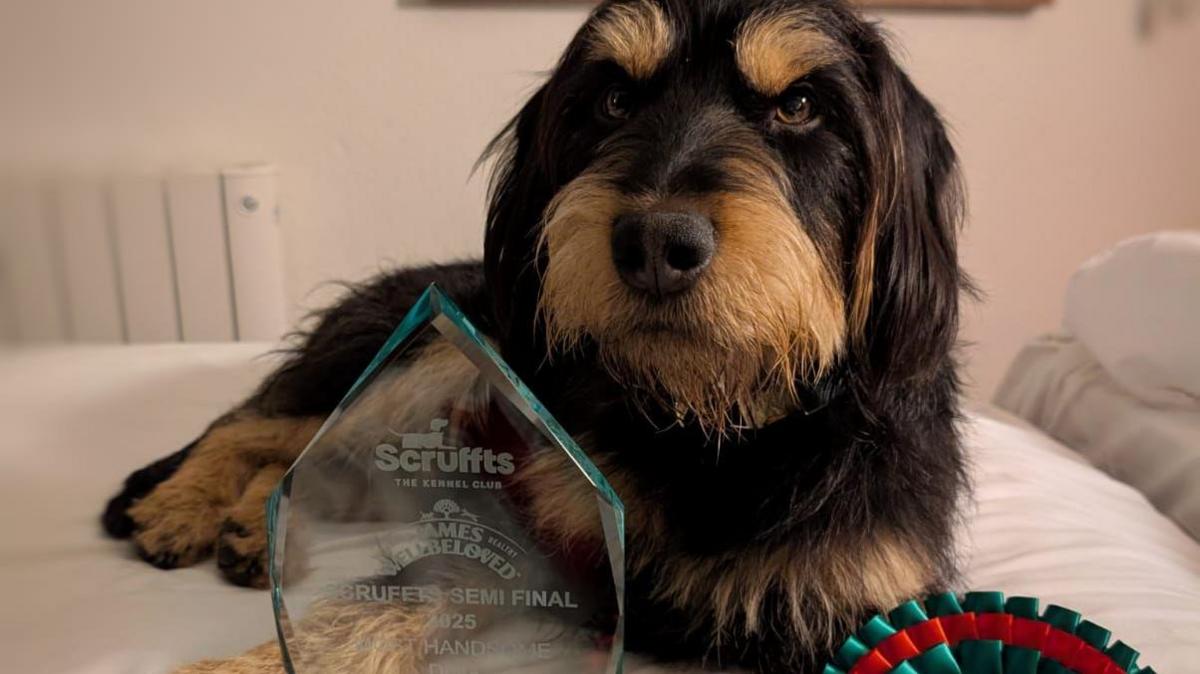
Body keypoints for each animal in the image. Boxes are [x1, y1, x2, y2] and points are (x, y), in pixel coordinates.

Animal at [100, 1, 964, 666]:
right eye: (613, 101)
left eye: (800, 107)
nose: (656, 243)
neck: (702, 428)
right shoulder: (524, 526)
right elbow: (388, 601)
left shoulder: (862, 600)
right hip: (413, 357)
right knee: (250, 424)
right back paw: (187, 505)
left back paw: (249, 529)